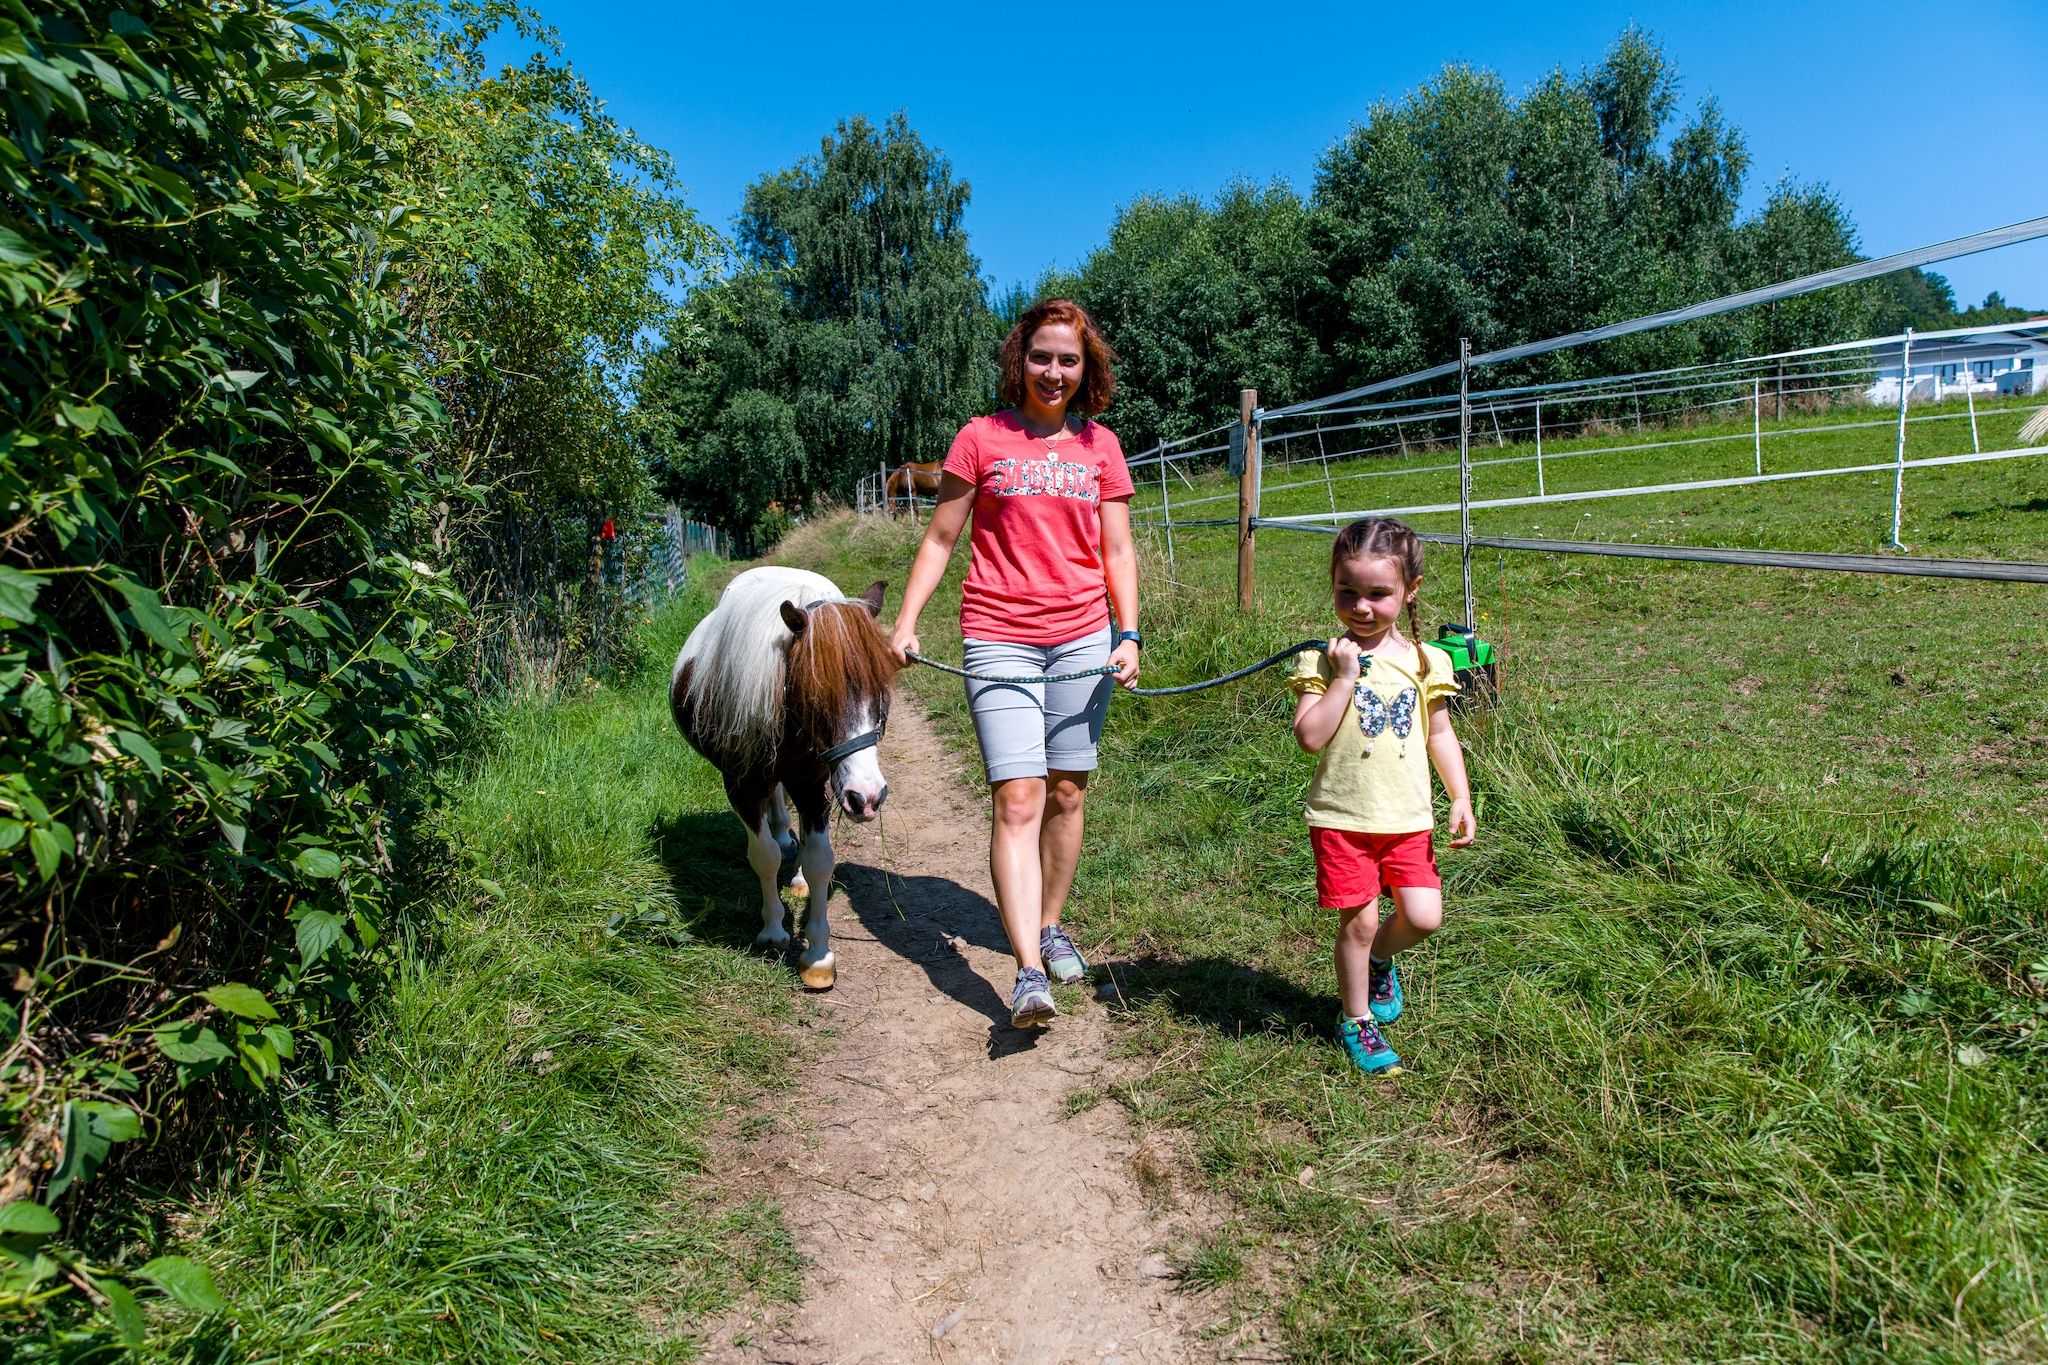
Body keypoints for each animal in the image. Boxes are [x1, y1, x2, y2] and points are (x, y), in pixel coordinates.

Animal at [670, 567, 900, 989]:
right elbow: (764, 855)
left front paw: (818, 955)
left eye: (880, 693)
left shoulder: (812, 784)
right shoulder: (742, 786)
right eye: (817, 696)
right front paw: (773, 929)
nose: (867, 796)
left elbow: (820, 859)